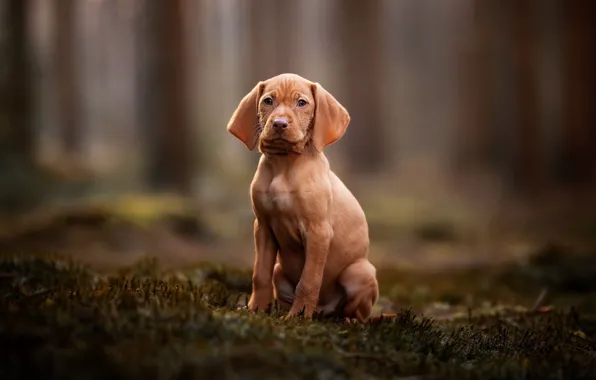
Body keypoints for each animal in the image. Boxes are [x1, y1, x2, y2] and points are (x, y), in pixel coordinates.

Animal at [226, 72, 380, 322]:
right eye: (268, 101)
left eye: (302, 103)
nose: (279, 124)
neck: (284, 163)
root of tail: (324, 310)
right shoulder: (263, 227)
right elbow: (260, 274)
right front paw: (255, 309)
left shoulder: (318, 231)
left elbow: (308, 280)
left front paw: (298, 317)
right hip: (279, 270)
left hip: (360, 272)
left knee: (356, 311)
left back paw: (346, 319)